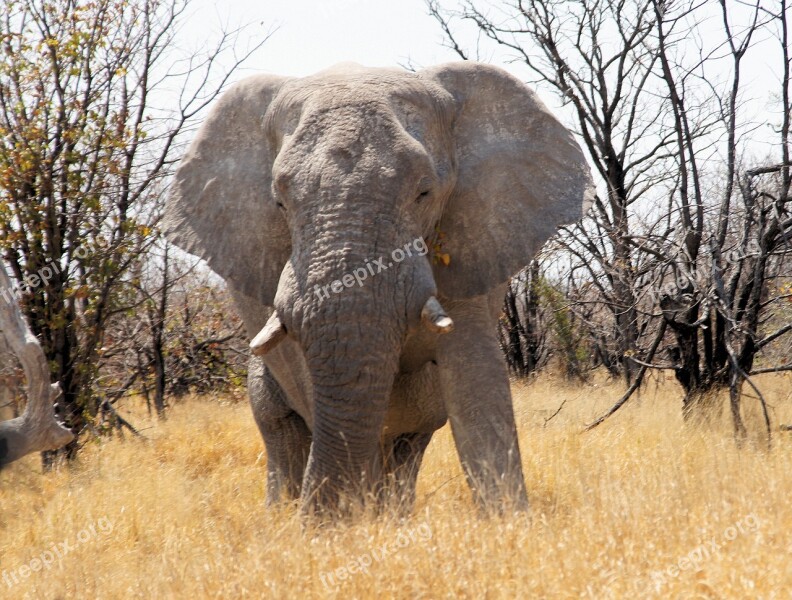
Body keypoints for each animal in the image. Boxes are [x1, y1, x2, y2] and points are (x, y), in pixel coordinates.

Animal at [164, 61, 592, 516]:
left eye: (424, 192)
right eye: (280, 202)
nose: (317, 524)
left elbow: (478, 387)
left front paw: (507, 522)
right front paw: (352, 522)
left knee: (407, 445)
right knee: (284, 430)